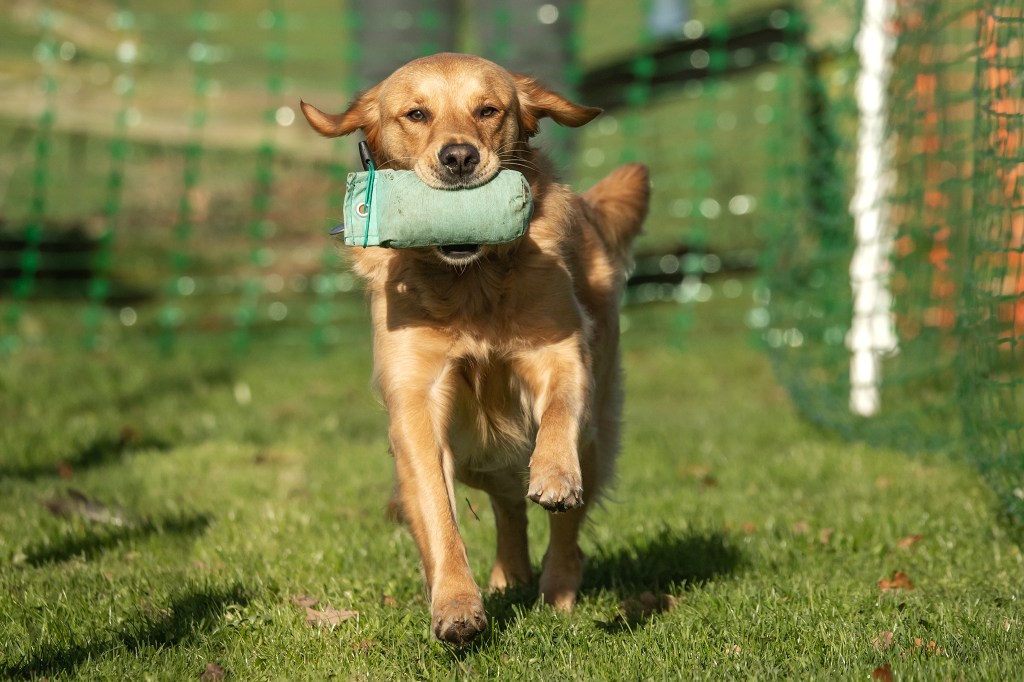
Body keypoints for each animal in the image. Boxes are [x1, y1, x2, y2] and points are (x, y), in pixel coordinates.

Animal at [301, 53, 649, 645]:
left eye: (488, 110)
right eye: (416, 114)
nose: (459, 157)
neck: (470, 284)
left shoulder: (559, 351)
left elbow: (559, 408)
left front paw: (554, 474)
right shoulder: (417, 400)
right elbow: (438, 515)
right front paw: (457, 607)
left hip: (596, 431)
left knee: (564, 529)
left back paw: (556, 591)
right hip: (474, 457)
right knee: (507, 505)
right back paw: (509, 575)